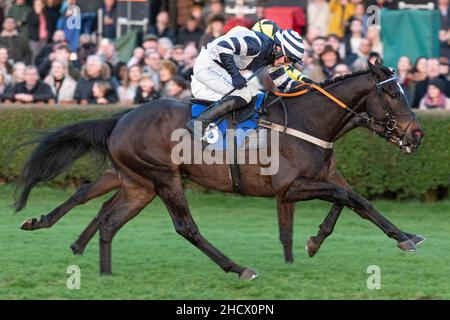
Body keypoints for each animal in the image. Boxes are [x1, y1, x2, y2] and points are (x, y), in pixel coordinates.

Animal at [14, 61, 422, 278]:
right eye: (393, 93)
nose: (416, 133)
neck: (308, 121)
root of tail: (122, 118)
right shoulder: (288, 188)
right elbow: (344, 198)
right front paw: (314, 240)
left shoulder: (324, 176)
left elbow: (357, 201)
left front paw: (404, 236)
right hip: (164, 178)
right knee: (185, 228)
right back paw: (238, 267)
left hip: (138, 184)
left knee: (107, 217)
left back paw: (100, 267)